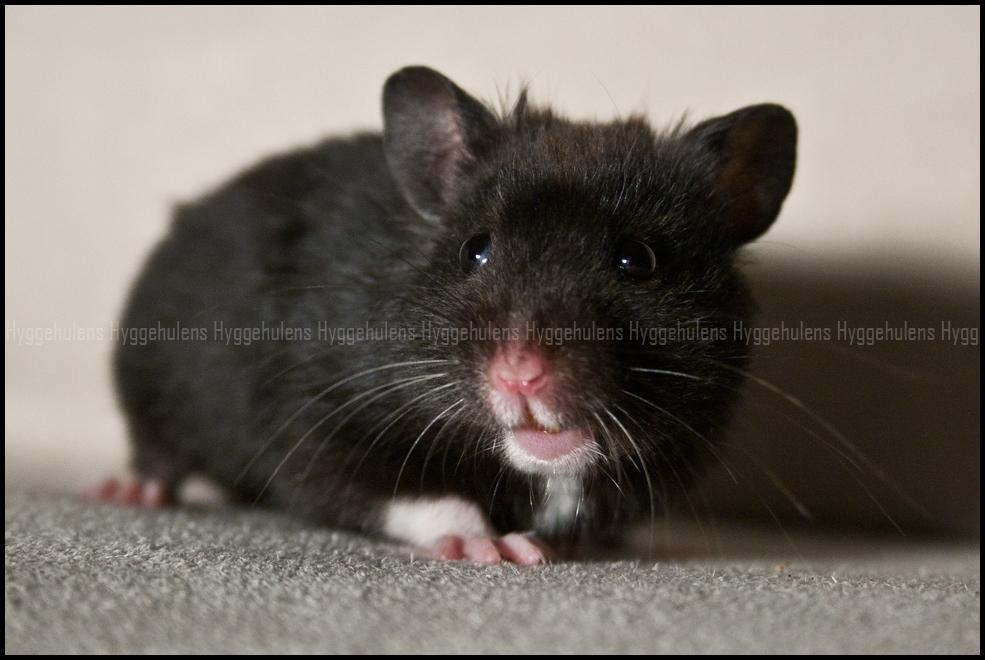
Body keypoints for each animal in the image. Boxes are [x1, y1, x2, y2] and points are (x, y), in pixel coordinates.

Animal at [103, 66, 797, 564]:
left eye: (638, 259)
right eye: (474, 250)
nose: (520, 373)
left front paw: (543, 547)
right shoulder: (318, 418)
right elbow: (412, 495)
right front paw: (492, 548)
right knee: (154, 449)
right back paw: (127, 492)